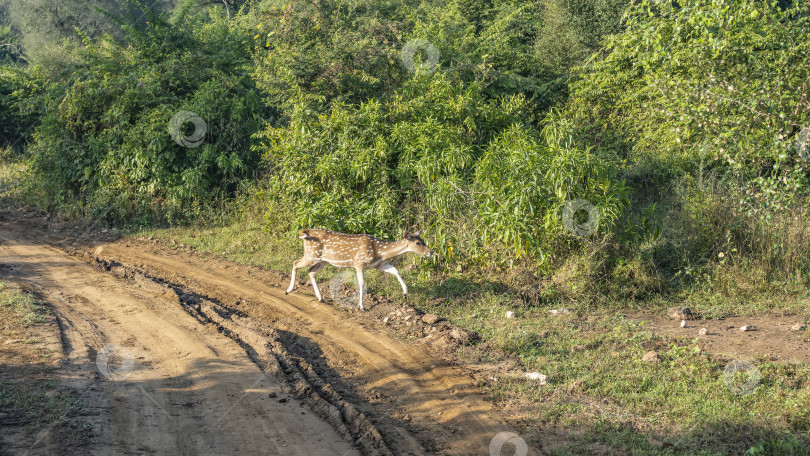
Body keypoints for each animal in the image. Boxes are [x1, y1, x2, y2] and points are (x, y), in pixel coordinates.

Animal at [288, 230, 432, 312]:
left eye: (423, 240)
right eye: (418, 243)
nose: (430, 252)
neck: (380, 252)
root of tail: (305, 232)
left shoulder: (379, 265)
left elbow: (395, 270)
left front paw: (405, 291)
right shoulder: (359, 262)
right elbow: (362, 283)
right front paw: (362, 307)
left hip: (322, 260)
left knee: (311, 272)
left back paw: (320, 298)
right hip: (311, 255)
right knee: (295, 263)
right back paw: (289, 290)